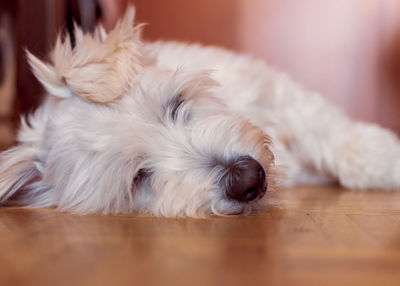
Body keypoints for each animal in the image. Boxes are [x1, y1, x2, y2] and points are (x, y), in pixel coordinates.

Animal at [0, 7, 398, 217]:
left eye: (176, 105)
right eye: (140, 177)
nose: (246, 179)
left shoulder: (276, 92)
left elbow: (330, 131)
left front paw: (385, 158)